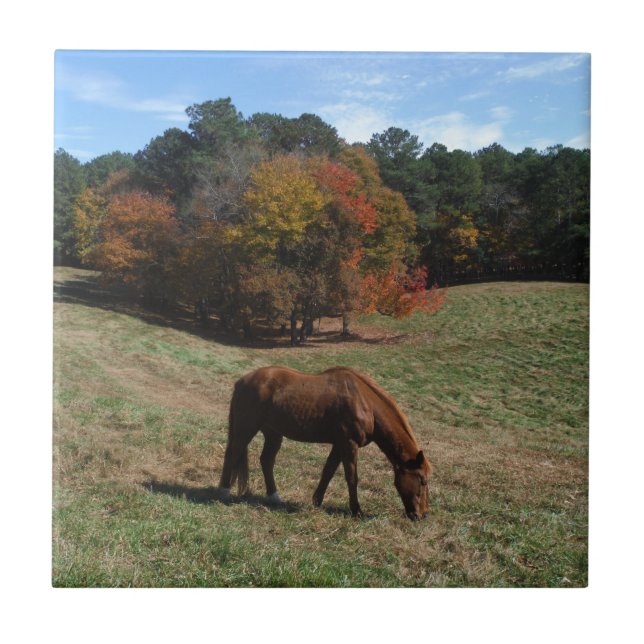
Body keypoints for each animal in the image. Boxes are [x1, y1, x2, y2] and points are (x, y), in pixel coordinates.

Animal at [218, 365, 432, 520]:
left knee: (266, 461)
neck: (365, 403)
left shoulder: (339, 445)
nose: (422, 515)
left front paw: (316, 502)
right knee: (233, 453)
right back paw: (224, 492)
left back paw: (274, 497)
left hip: (273, 434)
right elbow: (352, 478)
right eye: (422, 480)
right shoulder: (348, 444)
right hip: (246, 428)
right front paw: (356, 511)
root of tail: (243, 381)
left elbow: (328, 472)